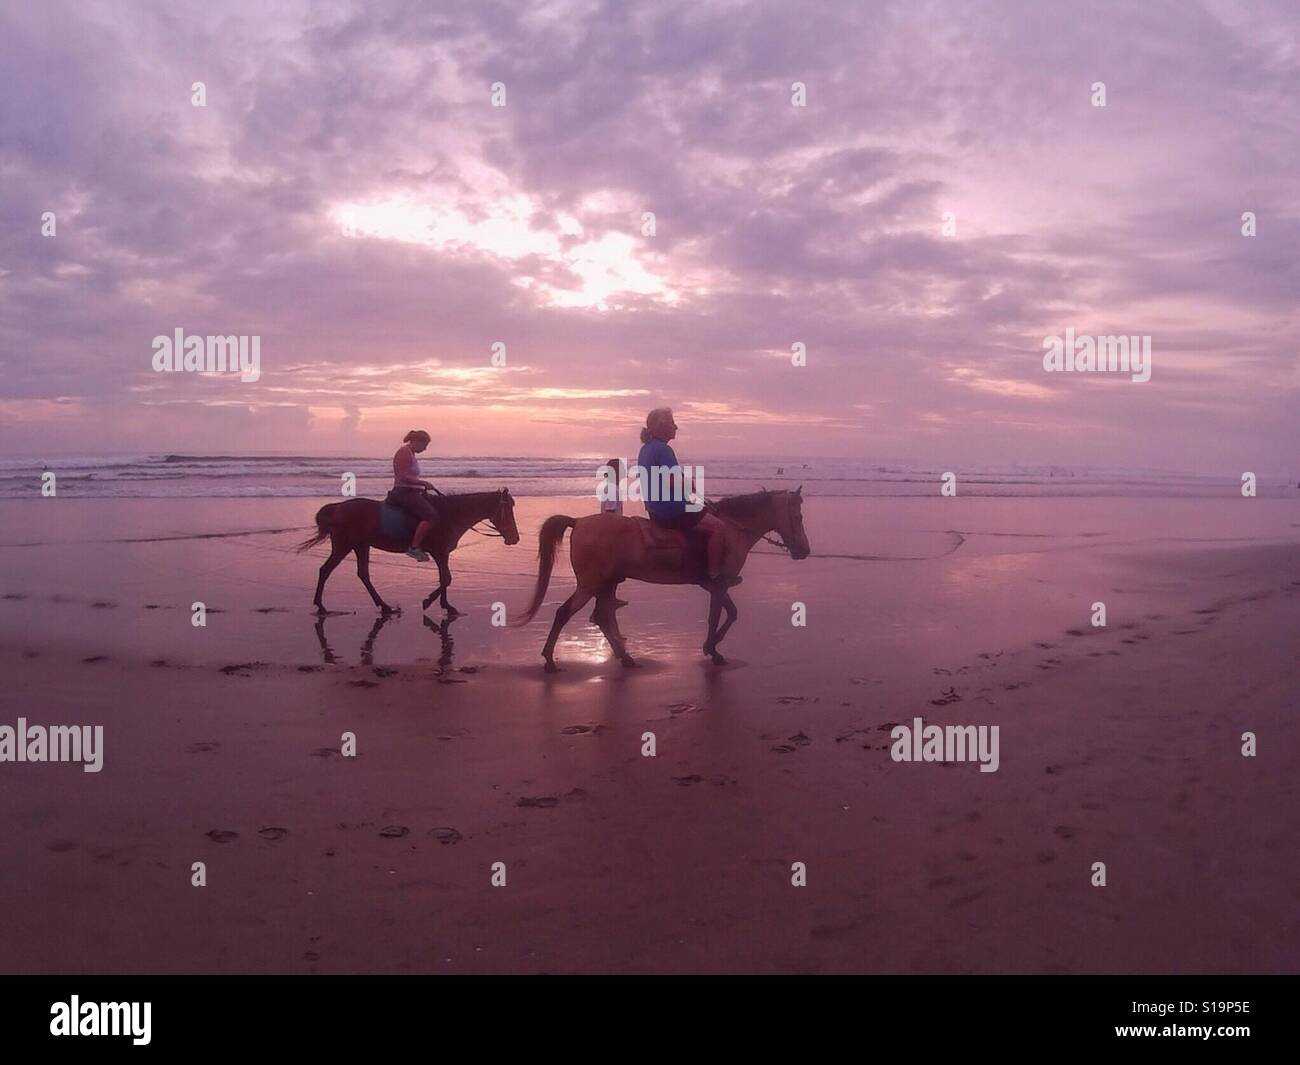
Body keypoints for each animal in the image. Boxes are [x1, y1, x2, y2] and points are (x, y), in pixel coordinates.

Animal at [297, 488, 520, 616]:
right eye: (507, 510)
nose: (515, 538)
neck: (450, 513)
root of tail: (337, 508)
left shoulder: (442, 554)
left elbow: (445, 579)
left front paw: (442, 604)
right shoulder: (441, 554)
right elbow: (446, 579)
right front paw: (434, 603)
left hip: (361, 546)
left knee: (362, 574)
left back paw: (384, 606)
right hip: (345, 545)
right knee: (326, 570)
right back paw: (321, 606)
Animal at [512, 488, 806, 670]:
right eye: (798, 516)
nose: (804, 551)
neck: (733, 530)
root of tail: (579, 521)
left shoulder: (717, 587)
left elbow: (728, 614)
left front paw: (712, 648)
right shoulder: (719, 585)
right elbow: (721, 616)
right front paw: (712, 649)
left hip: (607, 583)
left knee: (602, 616)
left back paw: (625, 657)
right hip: (590, 584)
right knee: (565, 613)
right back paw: (550, 660)